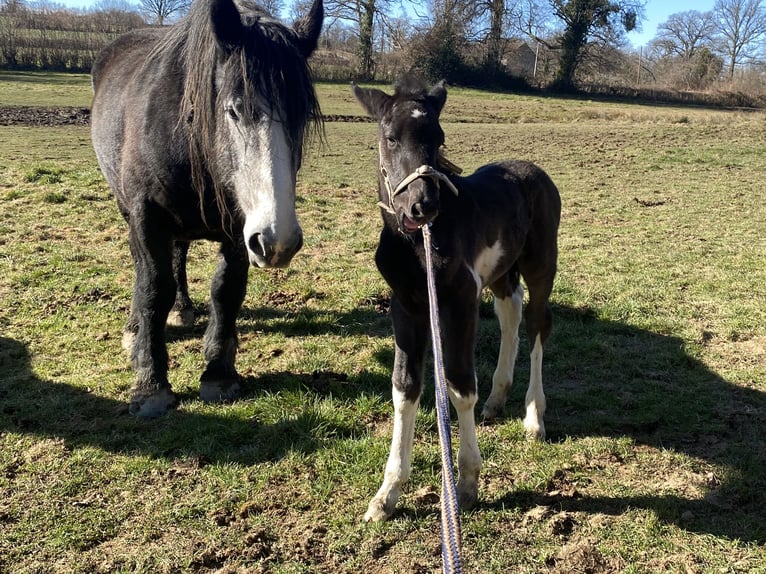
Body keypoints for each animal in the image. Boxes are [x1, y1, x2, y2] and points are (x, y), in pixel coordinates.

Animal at [93, 0, 324, 418]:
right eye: (234, 111)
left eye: (302, 115)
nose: (278, 242)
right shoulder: (146, 217)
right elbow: (153, 288)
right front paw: (150, 385)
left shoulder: (241, 228)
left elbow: (226, 289)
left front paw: (218, 373)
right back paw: (136, 329)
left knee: (179, 255)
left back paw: (183, 310)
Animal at [356, 79, 564, 524]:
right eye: (390, 138)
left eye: (439, 138)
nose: (422, 204)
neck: (419, 243)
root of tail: (535, 171)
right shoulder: (406, 307)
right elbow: (405, 387)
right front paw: (387, 494)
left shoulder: (461, 302)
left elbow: (459, 386)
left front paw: (466, 483)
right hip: (500, 274)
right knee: (510, 313)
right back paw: (497, 398)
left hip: (541, 267)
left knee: (537, 323)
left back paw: (533, 416)